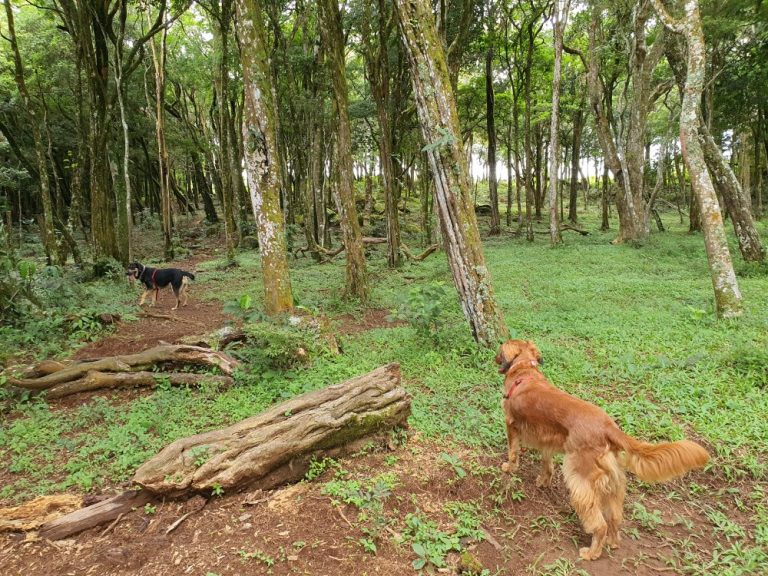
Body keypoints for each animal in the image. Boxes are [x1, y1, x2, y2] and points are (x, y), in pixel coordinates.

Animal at [496, 340, 712, 560]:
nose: (496, 359)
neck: (524, 371)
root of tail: (609, 427)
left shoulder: (511, 425)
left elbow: (513, 451)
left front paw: (509, 468)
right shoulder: (547, 439)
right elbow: (547, 464)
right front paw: (543, 481)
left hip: (581, 481)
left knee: (599, 524)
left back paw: (592, 552)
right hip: (612, 483)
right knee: (615, 518)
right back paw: (613, 543)